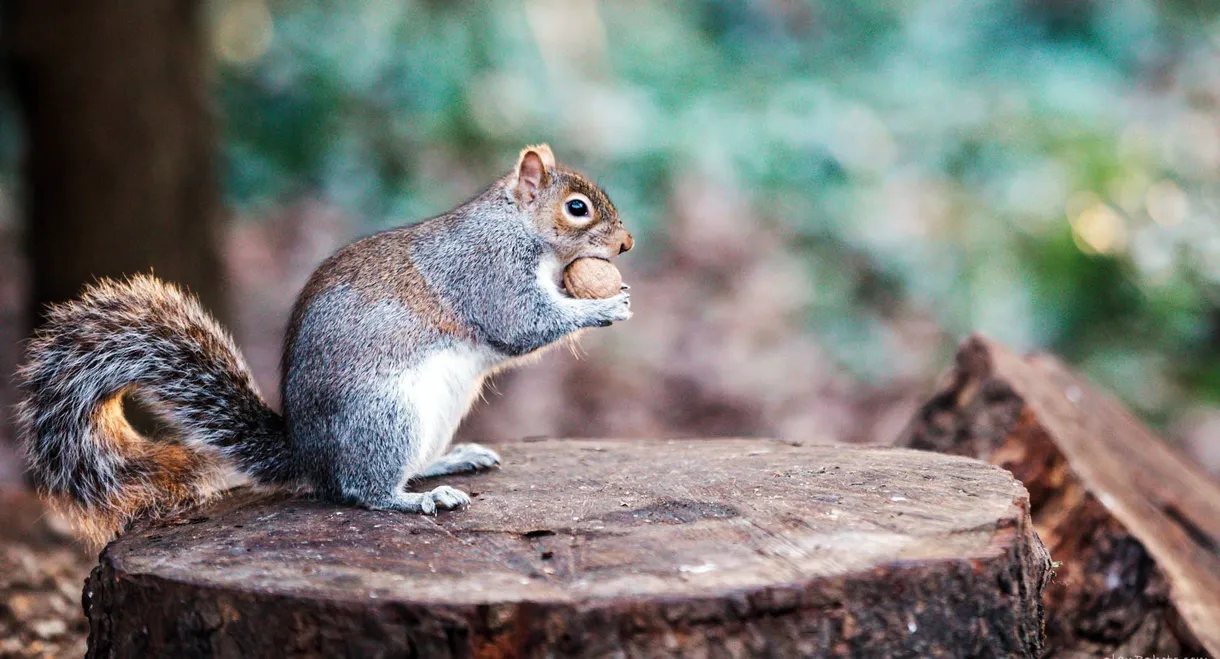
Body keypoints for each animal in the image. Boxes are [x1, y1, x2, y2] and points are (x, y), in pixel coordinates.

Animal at [15, 144, 634, 545]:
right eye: (577, 208)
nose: (626, 244)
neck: (518, 227)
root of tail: (308, 454)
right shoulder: (488, 274)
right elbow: (523, 324)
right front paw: (604, 307)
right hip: (384, 416)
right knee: (361, 490)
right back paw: (418, 498)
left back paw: (452, 461)